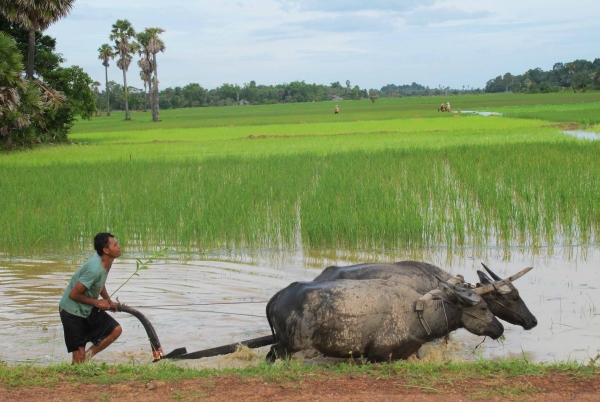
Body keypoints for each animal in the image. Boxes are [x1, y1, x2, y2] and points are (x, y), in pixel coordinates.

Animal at [266, 268, 528, 362]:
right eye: (483, 308)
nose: (499, 328)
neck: (418, 315)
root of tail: (278, 297)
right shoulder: (379, 357)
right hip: (288, 345)